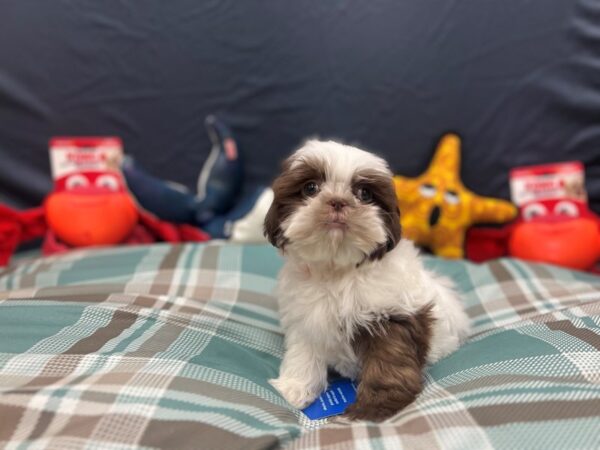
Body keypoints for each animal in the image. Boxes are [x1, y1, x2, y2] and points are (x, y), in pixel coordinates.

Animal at [264, 141, 472, 422]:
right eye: (310, 188)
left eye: (364, 193)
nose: (338, 202)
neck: (337, 270)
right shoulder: (306, 319)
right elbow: (304, 353)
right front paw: (295, 387)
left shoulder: (390, 316)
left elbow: (387, 361)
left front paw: (376, 406)